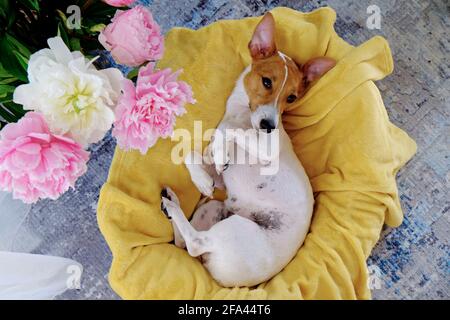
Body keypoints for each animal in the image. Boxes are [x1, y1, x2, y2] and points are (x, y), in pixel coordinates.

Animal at [161, 13, 334, 288]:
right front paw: (202, 180)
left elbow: (227, 131)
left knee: (194, 244)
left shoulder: (266, 147)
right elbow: (193, 156)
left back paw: (173, 206)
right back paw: (170, 201)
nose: (269, 126)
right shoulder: (220, 176)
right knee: (183, 244)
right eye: (266, 82)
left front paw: (220, 149)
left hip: (233, 230)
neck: (243, 116)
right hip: (213, 209)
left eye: (292, 98)